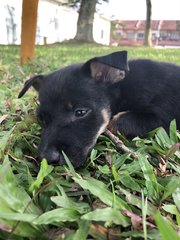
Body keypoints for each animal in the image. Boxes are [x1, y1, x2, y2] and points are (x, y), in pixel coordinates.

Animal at [18, 51, 180, 167]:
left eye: (80, 112)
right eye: (40, 118)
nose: (47, 159)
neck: (122, 87)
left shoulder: (162, 117)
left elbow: (117, 121)